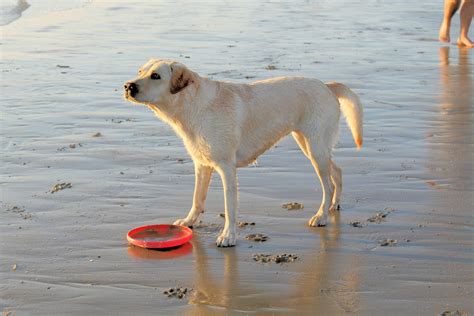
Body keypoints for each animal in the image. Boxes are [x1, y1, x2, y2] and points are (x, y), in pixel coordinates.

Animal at [123, 58, 362, 247]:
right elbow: (197, 198)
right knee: (337, 171)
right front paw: (189, 222)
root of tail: (326, 85)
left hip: (315, 147)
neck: (192, 106)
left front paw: (228, 236)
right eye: (140, 71)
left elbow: (229, 207)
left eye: (156, 76)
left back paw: (321, 215)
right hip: (310, 145)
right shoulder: (202, 165)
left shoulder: (226, 168)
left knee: (327, 185)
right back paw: (334, 205)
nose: (127, 86)